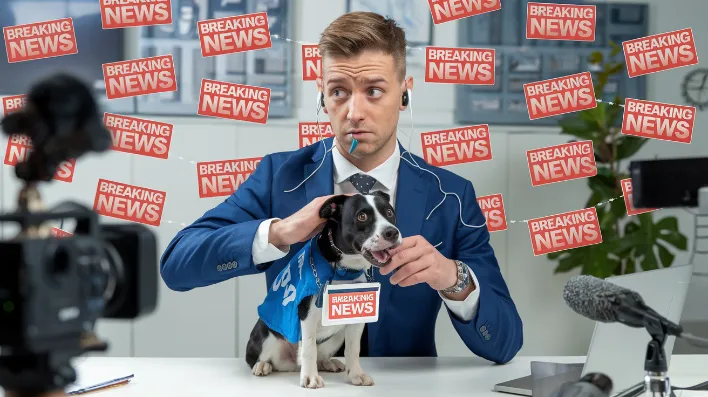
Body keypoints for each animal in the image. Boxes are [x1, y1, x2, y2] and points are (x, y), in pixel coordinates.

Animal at [248, 192, 404, 386]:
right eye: (362, 216)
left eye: (389, 212)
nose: (392, 232)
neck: (343, 270)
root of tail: (291, 364)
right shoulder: (306, 315)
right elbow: (308, 349)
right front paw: (310, 377)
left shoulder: (356, 316)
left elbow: (353, 349)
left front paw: (355, 374)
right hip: (266, 336)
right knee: (262, 357)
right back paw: (262, 365)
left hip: (336, 336)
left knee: (321, 356)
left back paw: (328, 363)